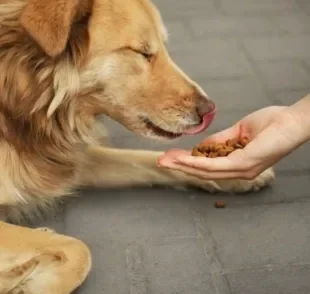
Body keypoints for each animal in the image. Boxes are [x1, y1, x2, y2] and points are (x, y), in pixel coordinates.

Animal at [0, 0, 274, 292]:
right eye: (143, 52)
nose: (209, 110)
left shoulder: (63, 162)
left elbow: (146, 160)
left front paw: (232, 175)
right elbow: (77, 249)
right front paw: (20, 280)